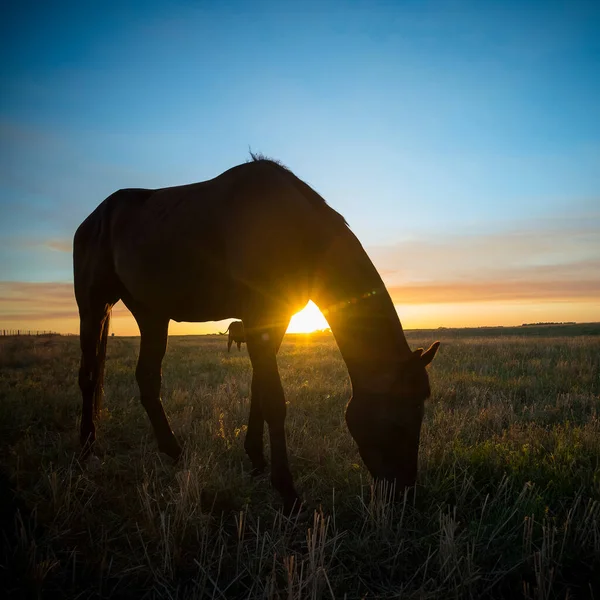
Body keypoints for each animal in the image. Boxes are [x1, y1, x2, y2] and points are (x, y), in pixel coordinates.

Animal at [75, 157, 440, 512]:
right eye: (400, 420)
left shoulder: (273, 320)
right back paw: (86, 449)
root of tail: (93, 220)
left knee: (148, 378)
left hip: (152, 314)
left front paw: (256, 459)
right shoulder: (258, 316)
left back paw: (175, 452)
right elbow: (275, 401)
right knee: (89, 375)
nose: (403, 494)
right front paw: (288, 493)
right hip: (94, 305)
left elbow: (259, 392)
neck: (294, 229)